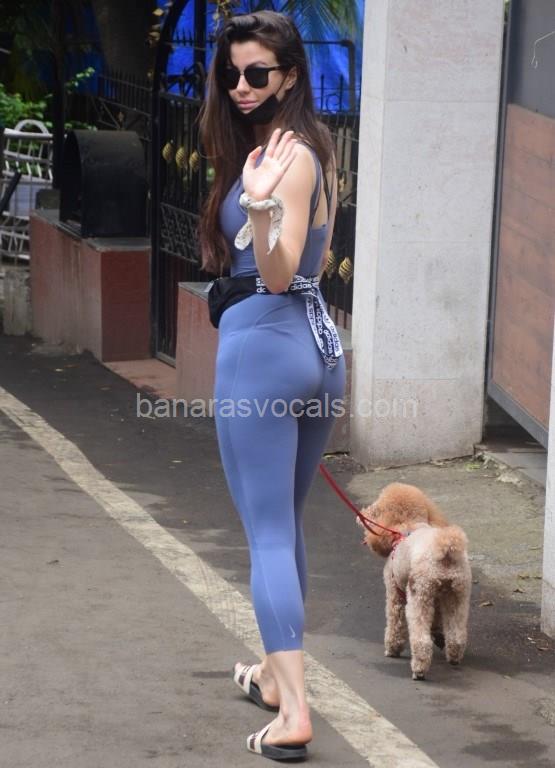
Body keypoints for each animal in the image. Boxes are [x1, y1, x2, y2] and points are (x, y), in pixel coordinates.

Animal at [358, 483, 471, 680]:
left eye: (377, 508)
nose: (363, 514)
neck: (408, 526)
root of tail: (445, 547)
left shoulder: (394, 592)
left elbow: (395, 622)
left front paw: (392, 648)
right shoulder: (439, 599)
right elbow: (438, 621)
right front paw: (439, 634)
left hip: (420, 595)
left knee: (421, 640)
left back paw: (419, 669)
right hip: (458, 595)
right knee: (457, 634)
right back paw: (454, 656)